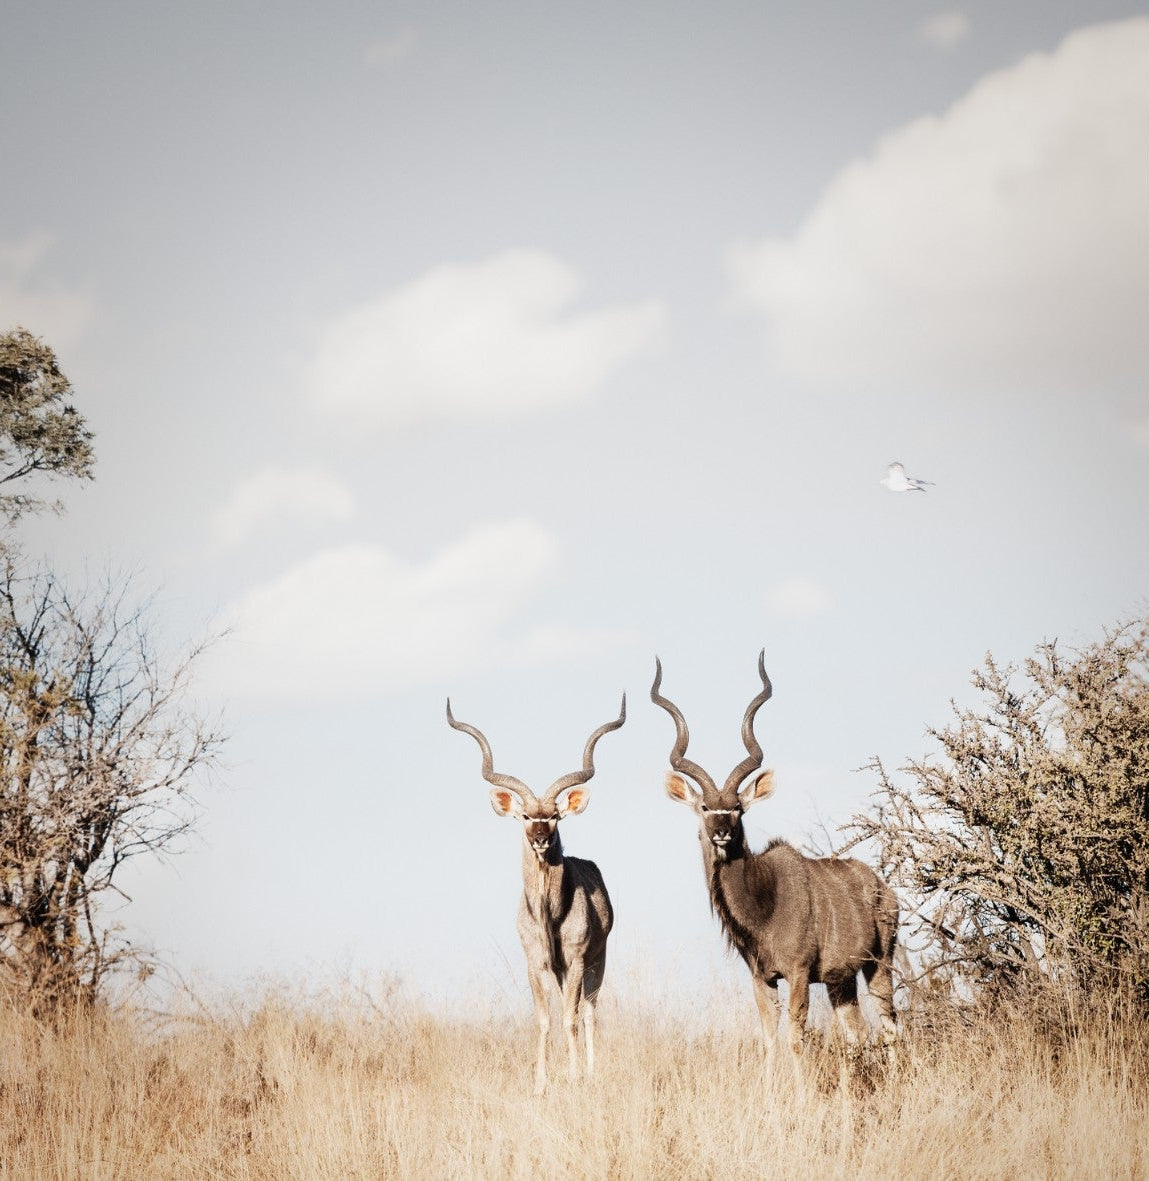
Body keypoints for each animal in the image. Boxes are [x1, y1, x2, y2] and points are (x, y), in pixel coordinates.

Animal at [447, 694, 625, 1094]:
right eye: (526, 816)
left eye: (555, 816)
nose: (541, 838)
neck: (549, 915)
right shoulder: (537, 963)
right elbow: (545, 1020)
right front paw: (540, 1083)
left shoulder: (576, 960)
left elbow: (571, 1018)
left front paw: (574, 1076)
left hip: (596, 962)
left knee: (589, 1013)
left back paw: (589, 1072)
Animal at [651, 652, 898, 1060]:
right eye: (705, 807)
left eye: (737, 808)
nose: (722, 832)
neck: (764, 904)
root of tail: (884, 889)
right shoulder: (762, 978)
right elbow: (768, 1040)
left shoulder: (798, 973)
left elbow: (795, 1040)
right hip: (841, 981)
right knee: (858, 1032)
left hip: (880, 963)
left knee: (891, 1025)